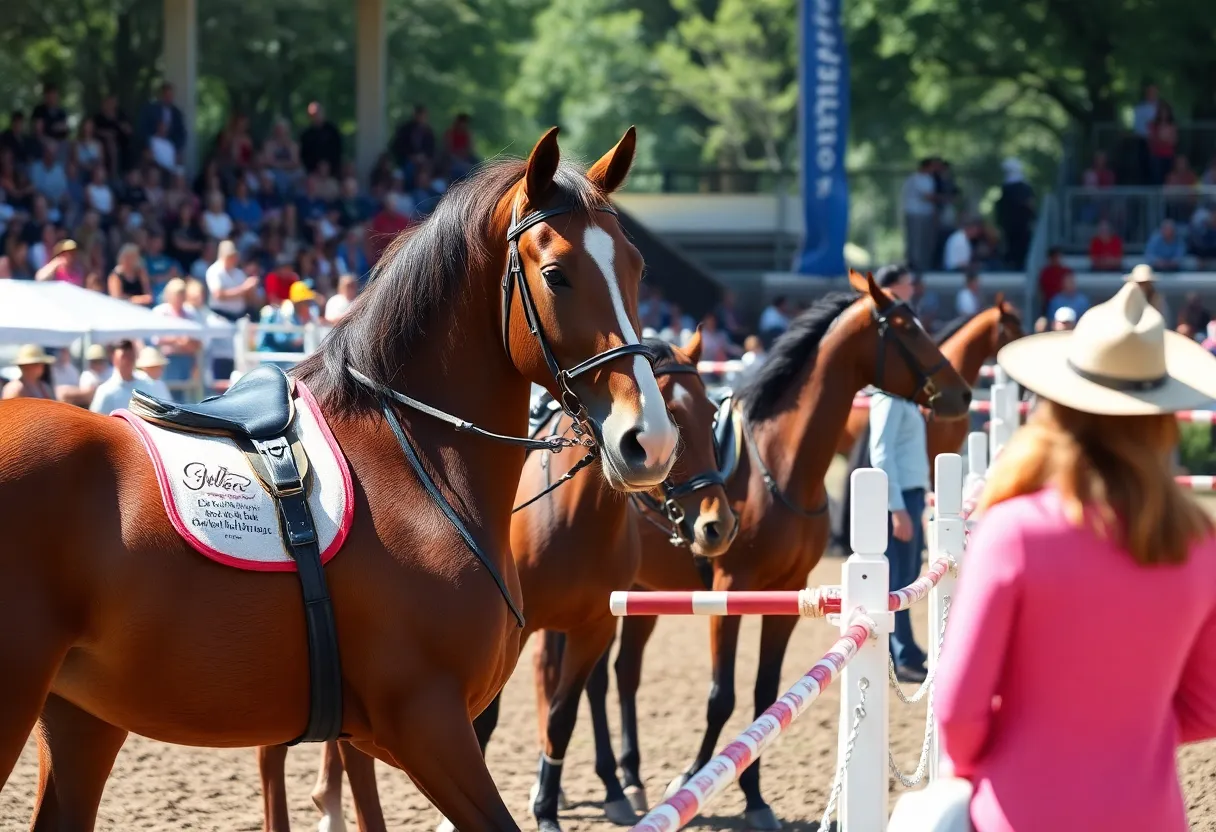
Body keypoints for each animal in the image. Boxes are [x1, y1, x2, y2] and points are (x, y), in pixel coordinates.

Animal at [0, 126, 681, 832]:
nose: (649, 440)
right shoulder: (427, 724)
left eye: (636, 268)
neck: (411, 464)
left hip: (81, 719)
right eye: (555, 275)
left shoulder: (378, 734)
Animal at [263, 332, 737, 832]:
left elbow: (562, 716)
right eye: (673, 412)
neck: (577, 519)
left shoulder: (593, 626)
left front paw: (548, 804)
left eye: (711, 414)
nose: (716, 524)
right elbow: (487, 722)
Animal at [554, 270, 974, 829]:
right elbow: (721, 696)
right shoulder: (728, 592)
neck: (778, 468)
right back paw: (605, 784)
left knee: (621, 675)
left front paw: (754, 797)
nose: (961, 393)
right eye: (905, 327)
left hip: (641, 592)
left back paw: (629, 777)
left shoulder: (787, 596)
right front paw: (689, 778)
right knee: (591, 680)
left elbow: (763, 694)